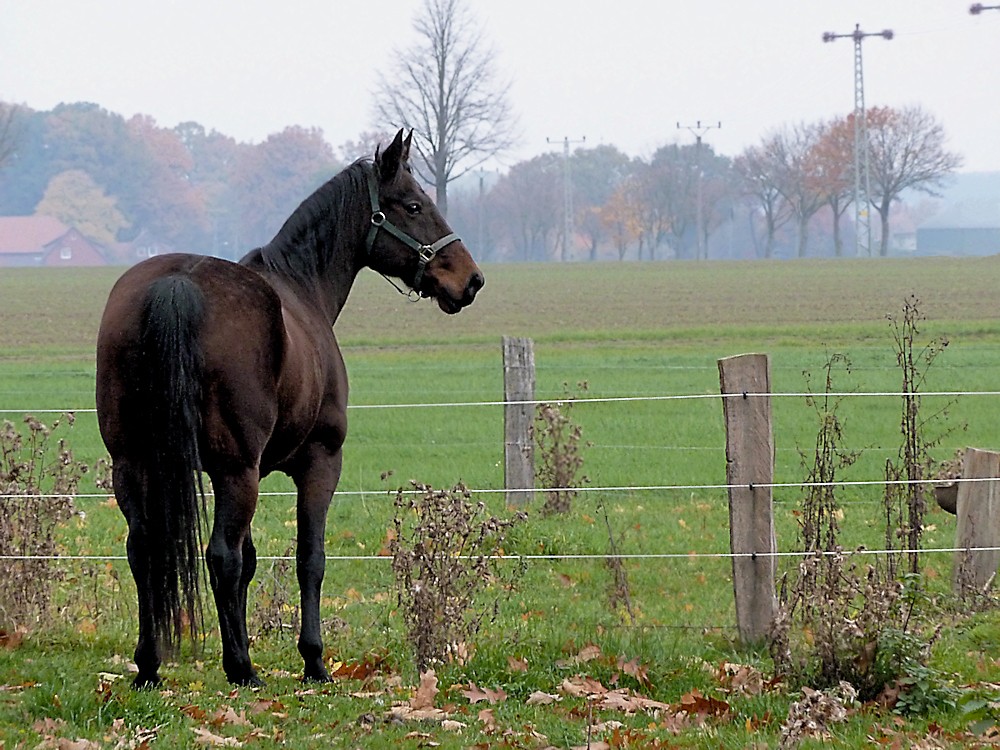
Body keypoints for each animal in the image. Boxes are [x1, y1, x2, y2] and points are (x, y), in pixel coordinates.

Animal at [96, 129, 484, 688]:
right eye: (414, 205)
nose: (470, 279)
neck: (302, 288)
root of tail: (178, 284)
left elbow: (252, 560)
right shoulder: (317, 463)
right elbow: (308, 559)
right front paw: (314, 660)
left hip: (135, 464)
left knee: (145, 548)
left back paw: (149, 665)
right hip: (236, 472)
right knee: (219, 556)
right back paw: (242, 669)